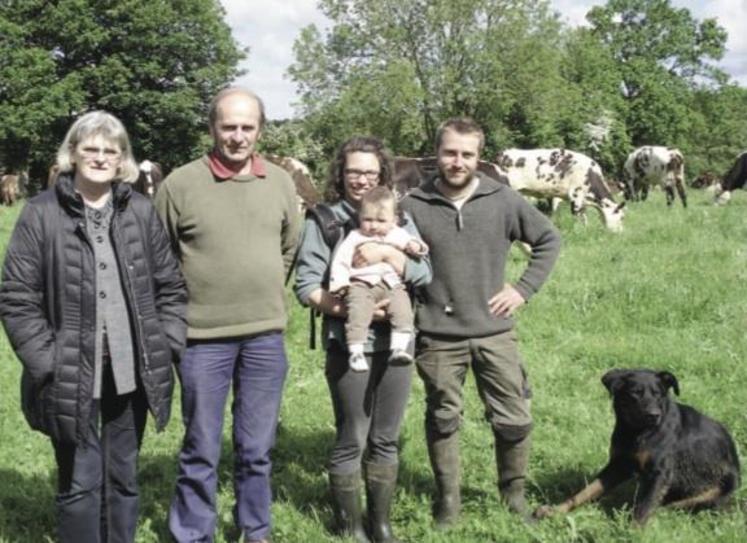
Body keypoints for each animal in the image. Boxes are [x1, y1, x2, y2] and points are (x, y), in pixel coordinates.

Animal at [496, 149, 624, 234]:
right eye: (622, 217)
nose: (620, 233)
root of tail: (502, 153)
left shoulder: (581, 201)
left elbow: (584, 217)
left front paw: (586, 229)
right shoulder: (575, 196)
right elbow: (577, 217)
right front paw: (577, 231)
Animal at [536, 368, 744, 524]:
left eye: (658, 394)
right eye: (635, 393)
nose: (654, 415)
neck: (636, 432)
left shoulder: (658, 473)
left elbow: (643, 509)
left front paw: (631, 533)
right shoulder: (618, 465)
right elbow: (586, 491)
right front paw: (556, 510)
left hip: (716, 489)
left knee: (671, 506)